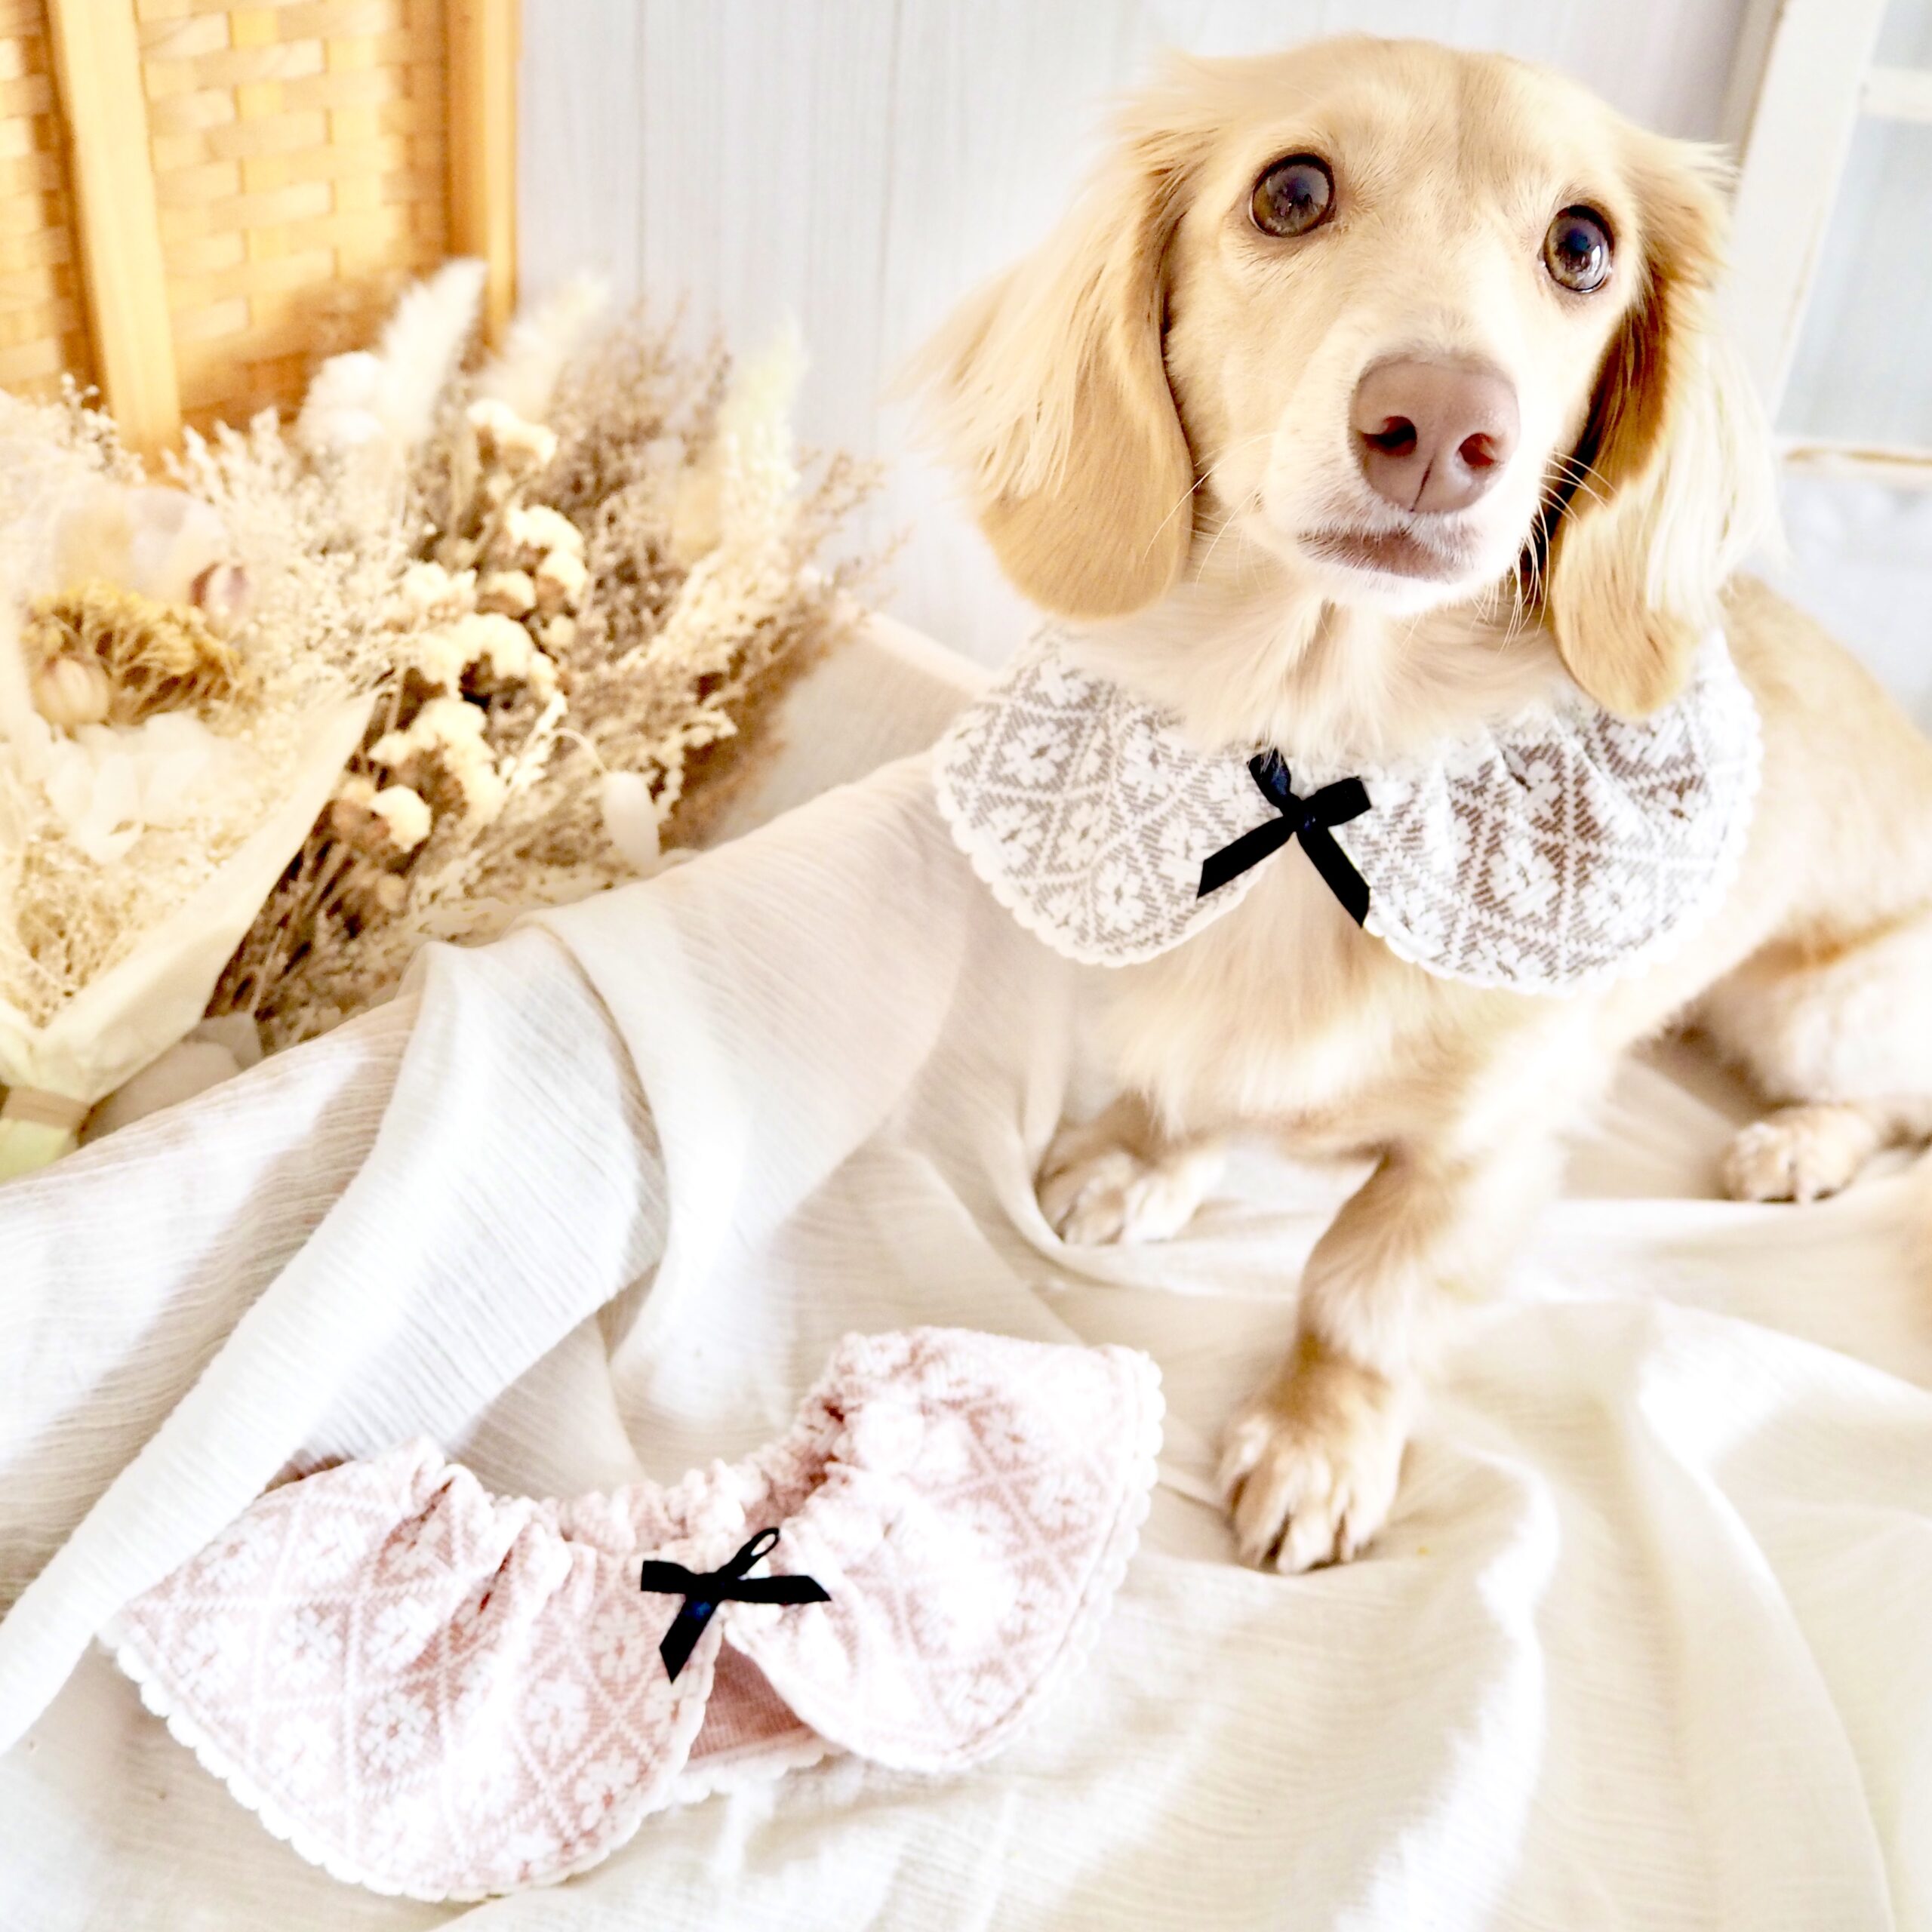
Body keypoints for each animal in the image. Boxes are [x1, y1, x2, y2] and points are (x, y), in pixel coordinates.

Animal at [911, 36, 1932, 1572]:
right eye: (1290, 193)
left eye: (1583, 245)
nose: (1445, 424)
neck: (1328, 755)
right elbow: (1184, 1085)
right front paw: (1145, 1159)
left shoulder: (1484, 1152)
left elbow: (1362, 1289)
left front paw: (1318, 1445)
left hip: (1822, 1004)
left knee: (1898, 1109)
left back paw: (1798, 1144)